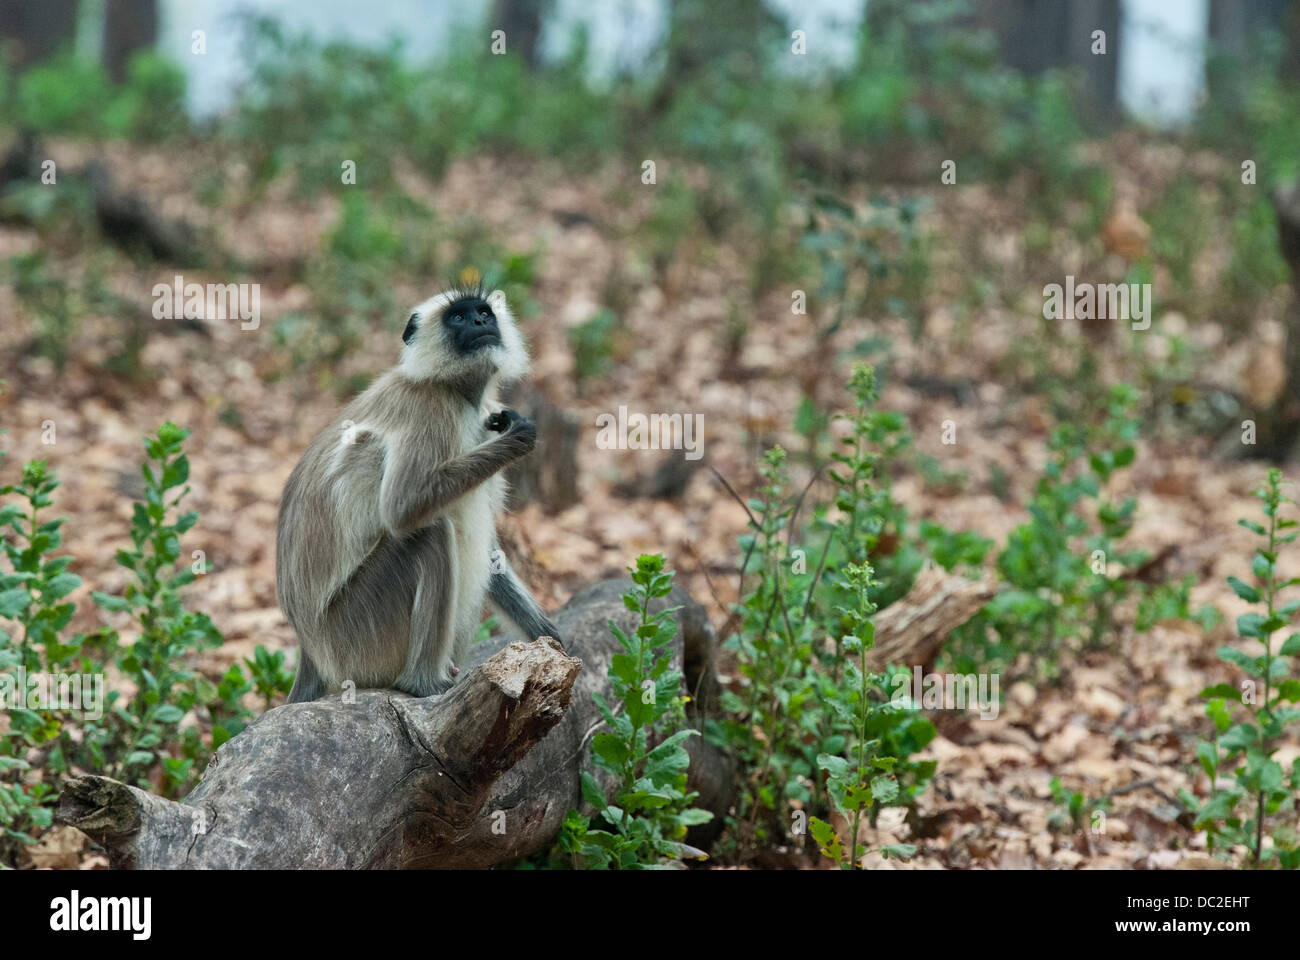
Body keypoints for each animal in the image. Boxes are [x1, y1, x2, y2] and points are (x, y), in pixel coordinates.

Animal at [274, 280, 559, 697]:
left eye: (483, 313)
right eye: (458, 317)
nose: (479, 322)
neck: (456, 392)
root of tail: (310, 650)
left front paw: (550, 638)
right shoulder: (428, 409)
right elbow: (403, 509)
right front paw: (520, 437)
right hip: (356, 639)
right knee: (430, 531)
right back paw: (423, 682)